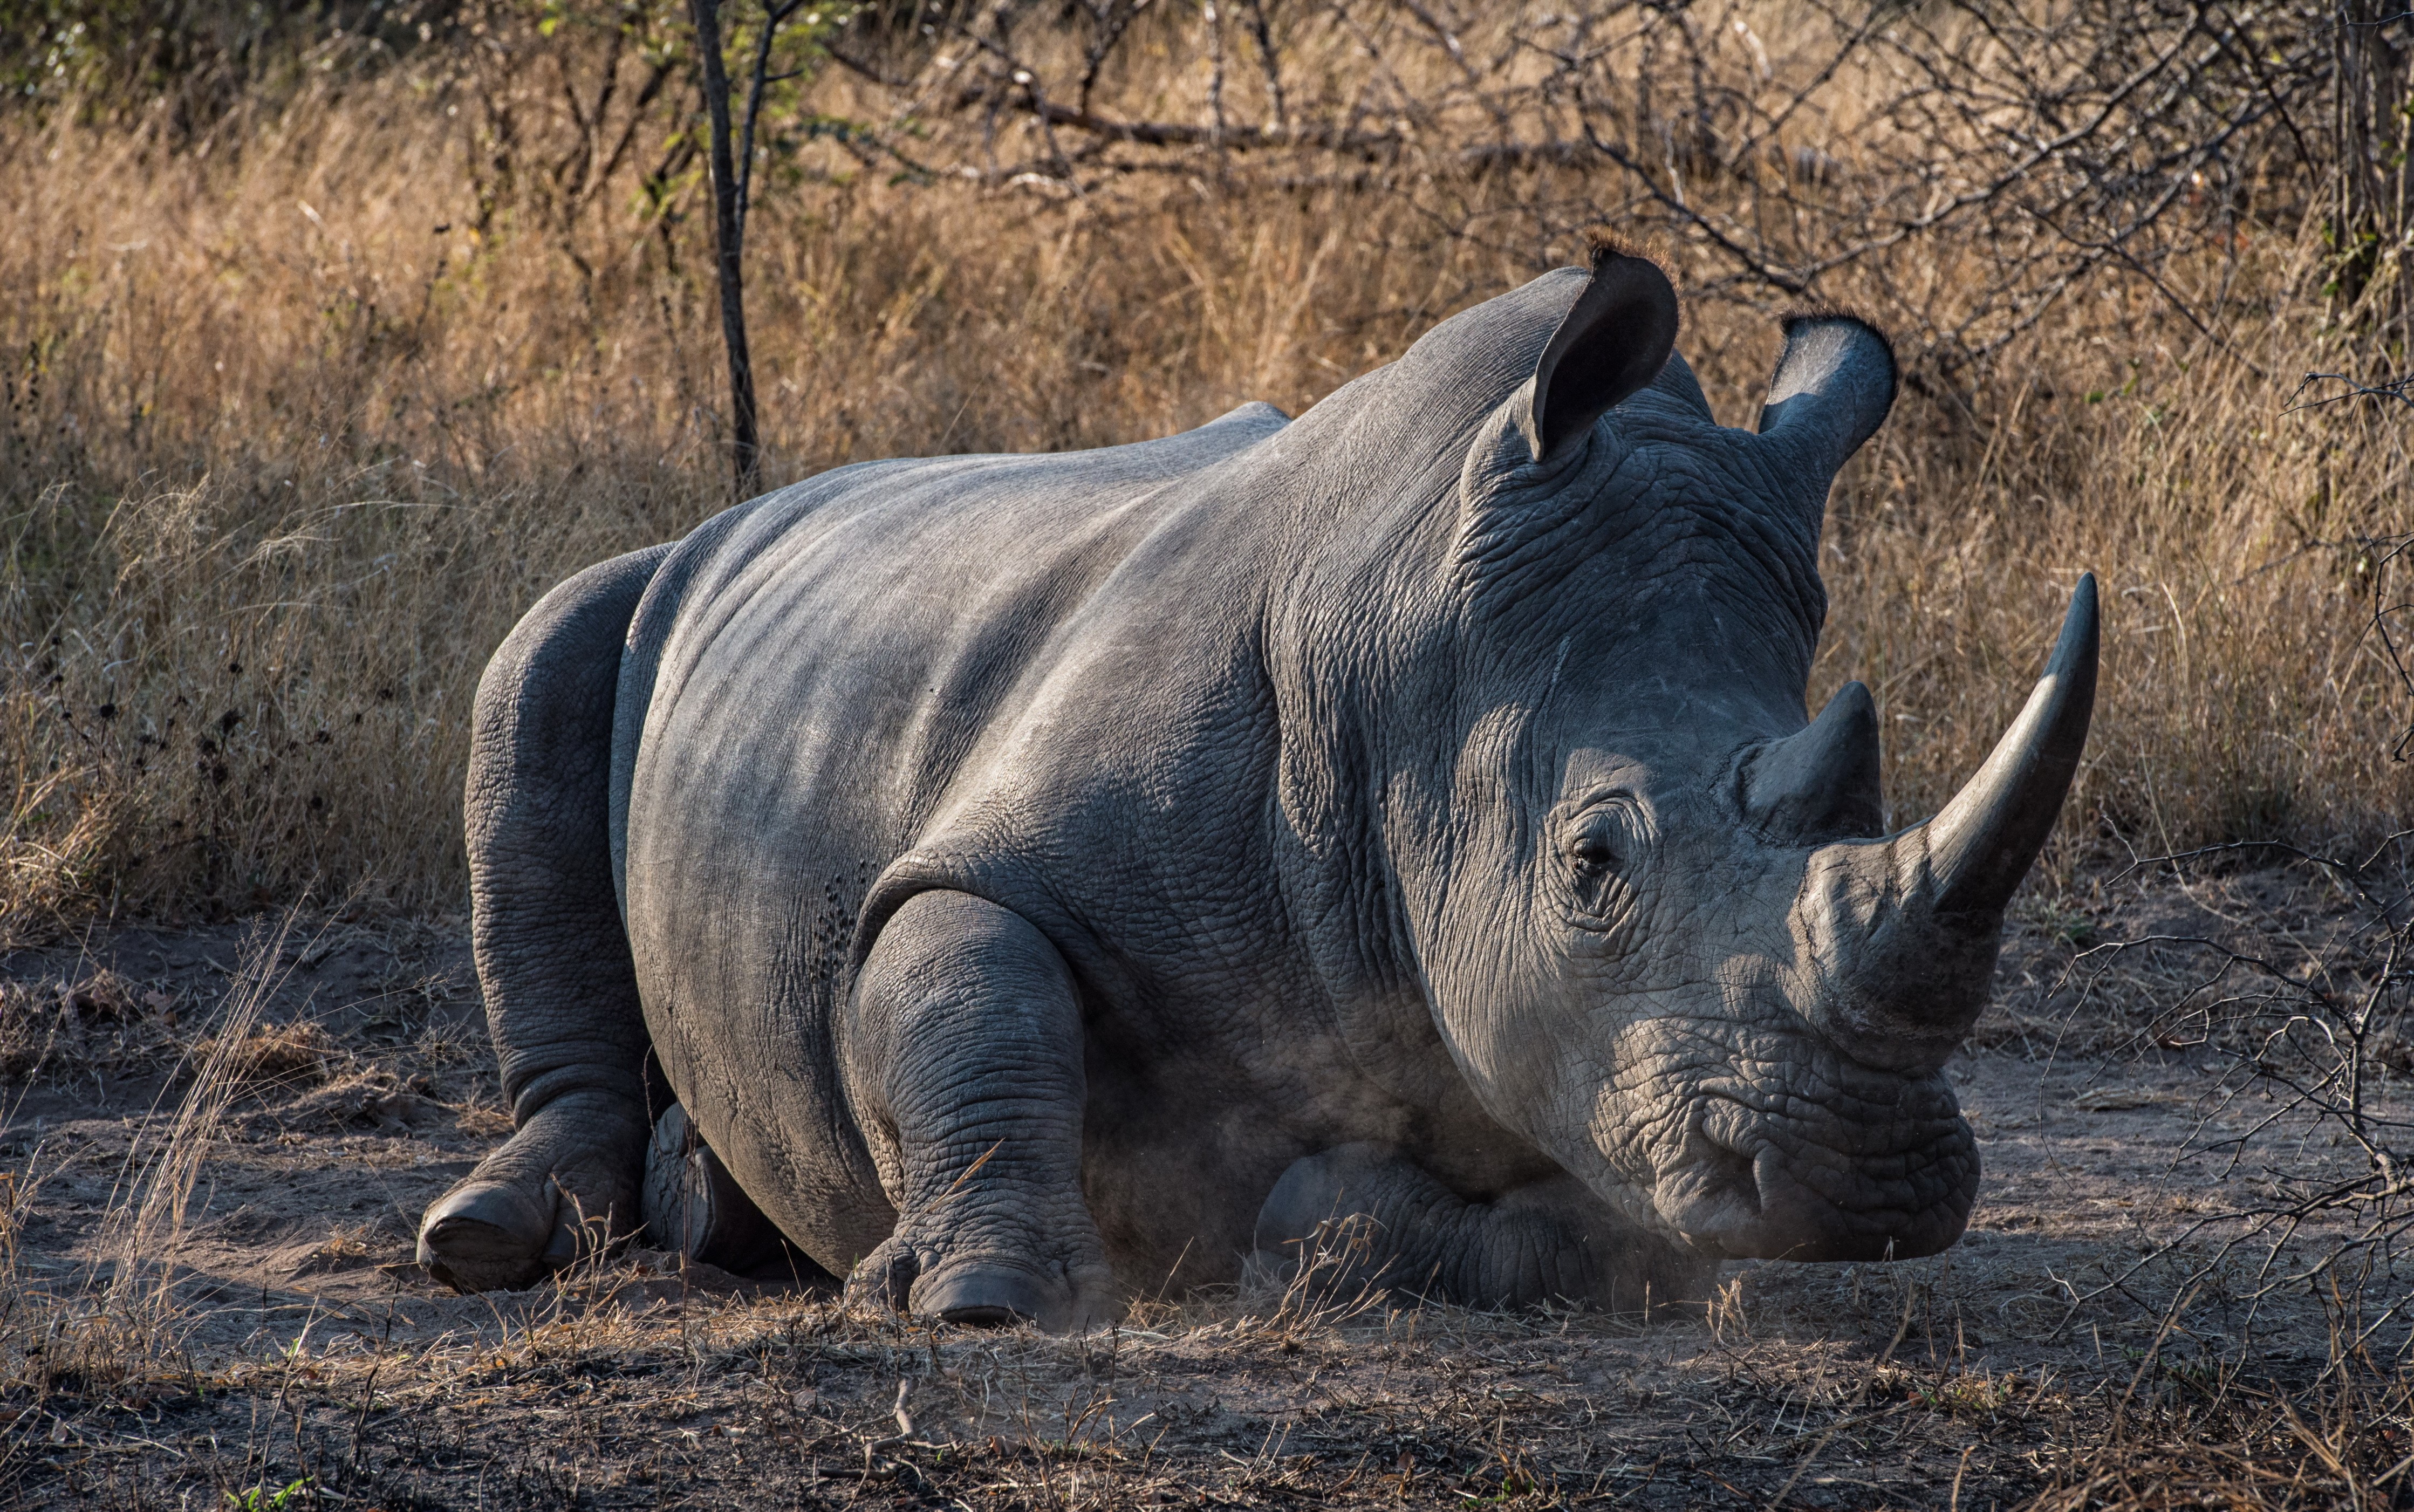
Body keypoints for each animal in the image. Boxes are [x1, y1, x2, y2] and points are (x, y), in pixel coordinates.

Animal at [416, 244, 2097, 1331]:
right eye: (1593, 861)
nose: (1872, 1184)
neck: (1412, 660)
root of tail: (766, 501)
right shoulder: (1006, 856)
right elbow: (965, 985)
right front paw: (981, 1298)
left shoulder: (1580, 1064)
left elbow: (1550, 1229)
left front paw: (1312, 1240)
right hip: (655, 584)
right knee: (539, 658)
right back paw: (496, 1240)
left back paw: (711, 1208)